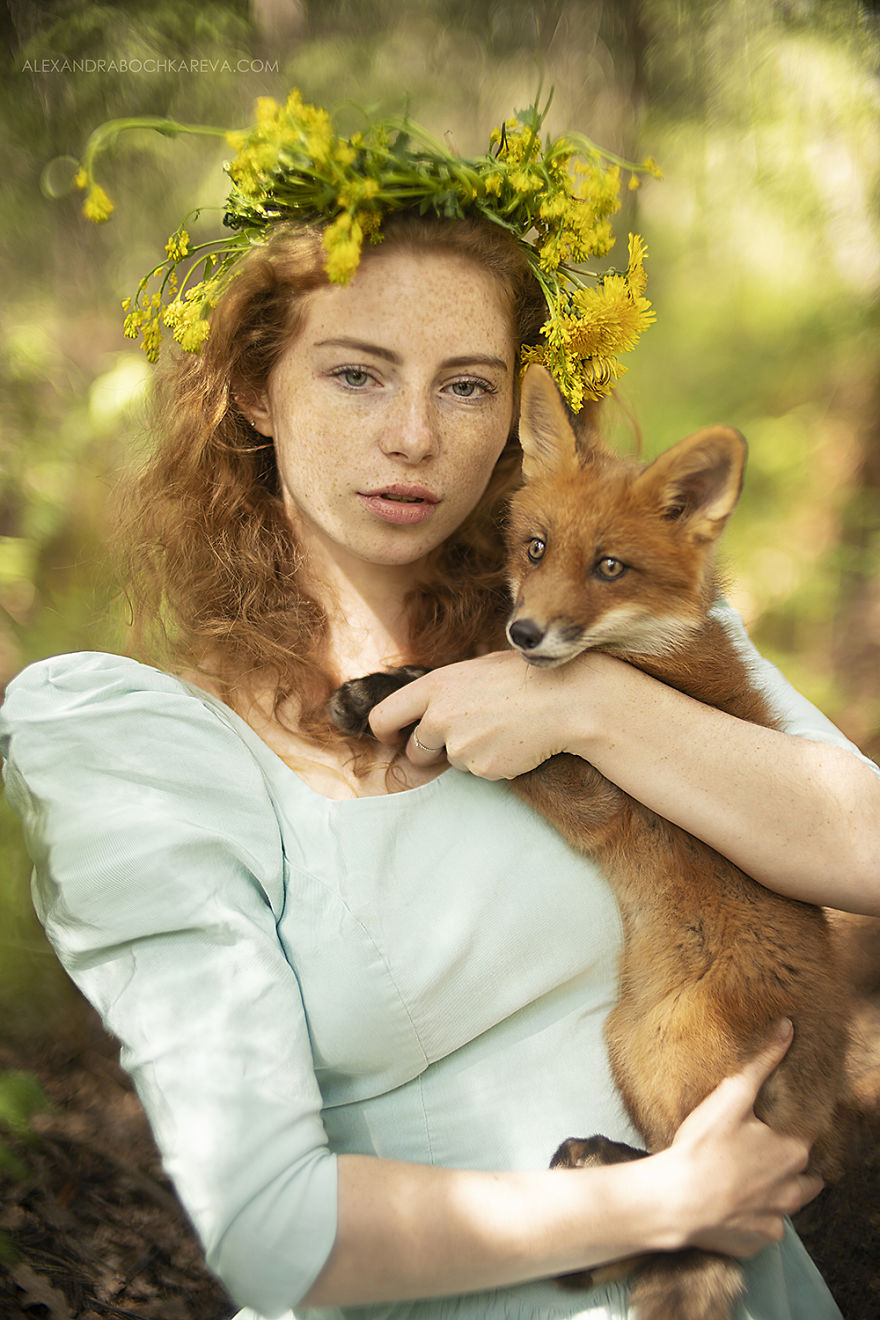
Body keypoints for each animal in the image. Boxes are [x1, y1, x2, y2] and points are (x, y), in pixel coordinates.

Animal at [329, 363, 851, 1320]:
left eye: (610, 567)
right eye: (535, 549)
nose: (526, 633)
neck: (645, 653)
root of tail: (822, 1119)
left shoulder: (593, 790)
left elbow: (483, 704)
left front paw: (404, 690)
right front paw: (385, 685)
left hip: (674, 1056)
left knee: (704, 1207)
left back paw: (592, 1197)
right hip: (630, 1047)